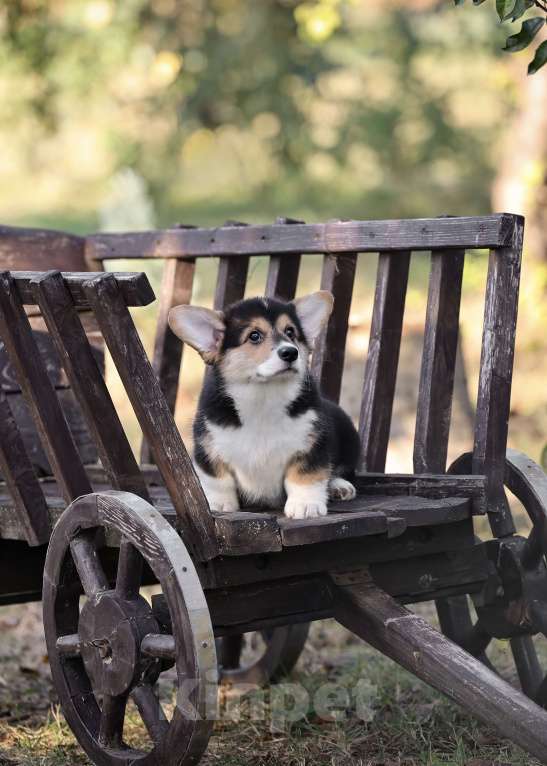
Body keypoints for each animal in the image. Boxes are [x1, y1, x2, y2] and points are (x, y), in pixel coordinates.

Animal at [169, 294, 362, 520]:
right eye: (254, 336)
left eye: (290, 332)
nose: (291, 353)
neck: (264, 396)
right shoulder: (208, 446)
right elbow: (218, 479)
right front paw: (219, 503)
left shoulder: (312, 443)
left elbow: (306, 475)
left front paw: (306, 505)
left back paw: (339, 486)